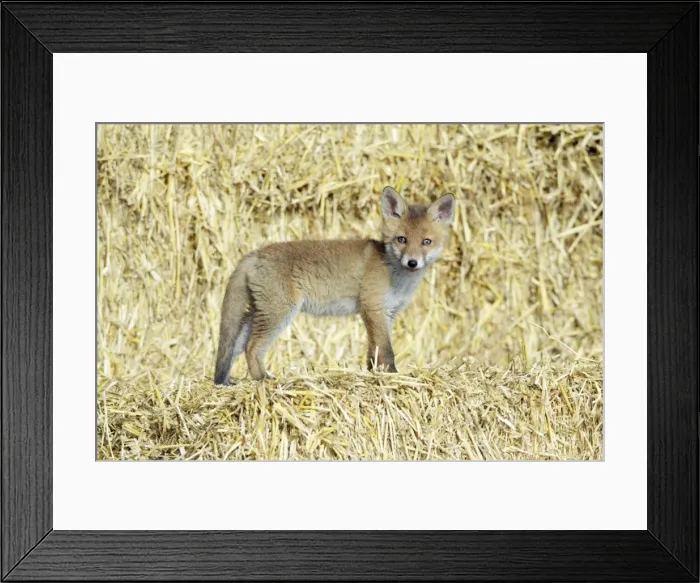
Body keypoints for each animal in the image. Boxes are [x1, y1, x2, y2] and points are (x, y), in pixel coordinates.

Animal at [214, 186, 455, 384]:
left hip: (256, 314)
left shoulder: (387, 313)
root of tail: (255, 254)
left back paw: (227, 382)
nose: (412, 262)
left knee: (236, 347)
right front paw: (392, 375)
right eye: (402, 239)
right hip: (278, 313)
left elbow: (374, 351)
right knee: (252, 348)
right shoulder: (373, 308)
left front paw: (373, 373)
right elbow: (386, 350)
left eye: (426, 242)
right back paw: (263, 379)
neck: (396, 275)